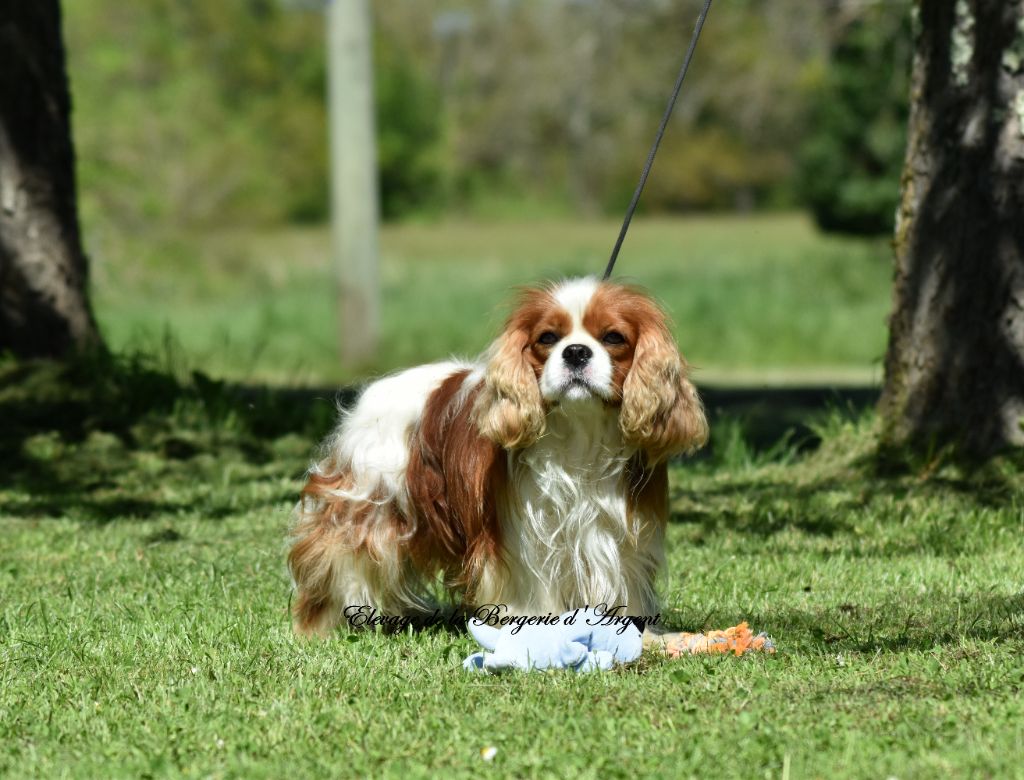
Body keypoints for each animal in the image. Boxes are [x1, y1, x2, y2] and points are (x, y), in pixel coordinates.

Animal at [284, 276, 708, 634]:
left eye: (614, 337)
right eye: (547, 338)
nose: (575, 352)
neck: (579, 430)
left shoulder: (618, 537)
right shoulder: (520, 537)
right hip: (367, 508)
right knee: (337, 561)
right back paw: (321, 625)